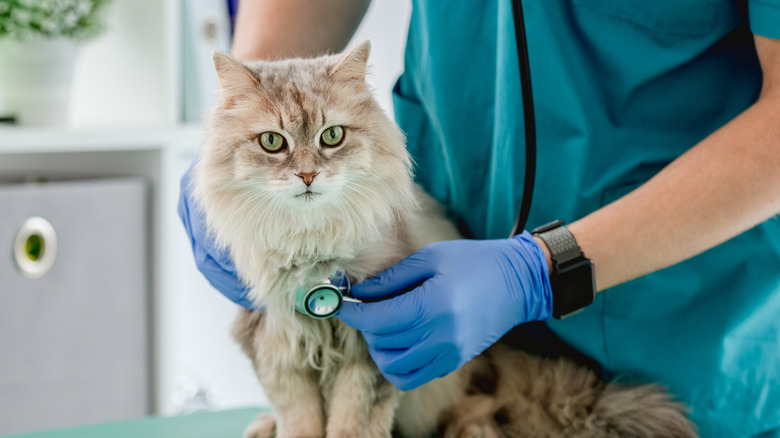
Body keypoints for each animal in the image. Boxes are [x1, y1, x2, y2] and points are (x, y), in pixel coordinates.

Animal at [190, 41, 700, 438]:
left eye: (331, 136)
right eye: (272, 143)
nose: (309, 175)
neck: (311, 246)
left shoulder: (372, 355)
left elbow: (353, 424)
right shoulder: (275, 349)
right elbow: (299, 423)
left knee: (485, 407)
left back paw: (471, 429)